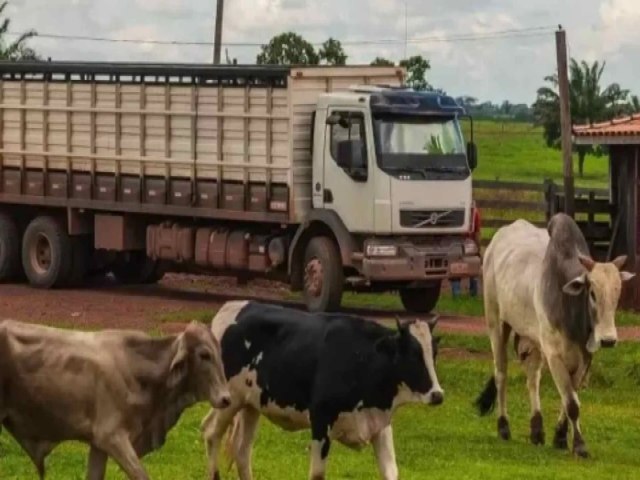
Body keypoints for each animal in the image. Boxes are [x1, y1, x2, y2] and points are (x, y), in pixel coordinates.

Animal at [0, 318, 230, 480]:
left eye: (220, 352)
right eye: (204, 355)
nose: (226, 399)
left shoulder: (98, 443)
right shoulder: (111, 436)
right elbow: (140, 475)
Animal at [202, 300, 442, 480]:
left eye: (434, 353)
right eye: (412, 354)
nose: (438, 394)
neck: (363, 358)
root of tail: (232, 307)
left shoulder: (380, 424)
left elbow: (390, 472)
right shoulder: (320, 421)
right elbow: (317, 474)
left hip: (251, 405)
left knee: (242, 451)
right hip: (229, 400)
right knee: (211, 433)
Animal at [476, 214, 636, 458]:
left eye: (617, 293)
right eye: (592, 293)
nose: (608, 340)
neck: (569, 307)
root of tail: (496, 239)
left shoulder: (585, 356)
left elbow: (569, 397)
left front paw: (560, 437)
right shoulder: (553, 355)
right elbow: (572, 403)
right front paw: (579, 445)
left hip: (532, 338)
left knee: (532, 377)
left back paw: (536, 430)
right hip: (496, 323)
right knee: (501, 373)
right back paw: (503, 427)